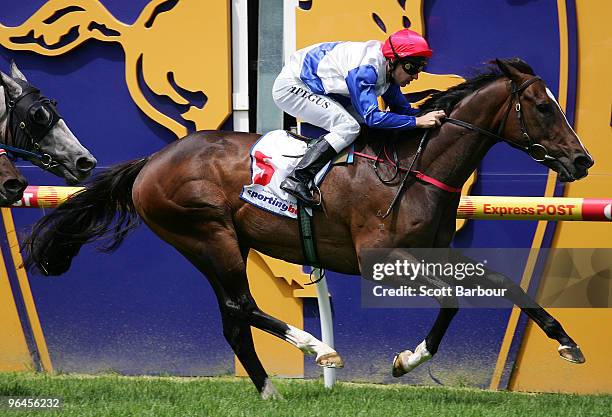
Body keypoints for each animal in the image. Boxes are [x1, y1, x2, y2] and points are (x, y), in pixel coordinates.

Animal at [23, 58, 592, 396]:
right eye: (542, 106)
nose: (582, 160)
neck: (416, 166)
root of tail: (151, 162)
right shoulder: (381, 258)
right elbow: (454, 299)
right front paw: (407, 360)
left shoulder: (435, 248)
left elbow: (504, 283)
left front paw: (567, 343)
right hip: (209, 236)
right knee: (241, 307)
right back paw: (318, 349)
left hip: (218, 245)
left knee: (233, 319)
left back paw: (270, 391)